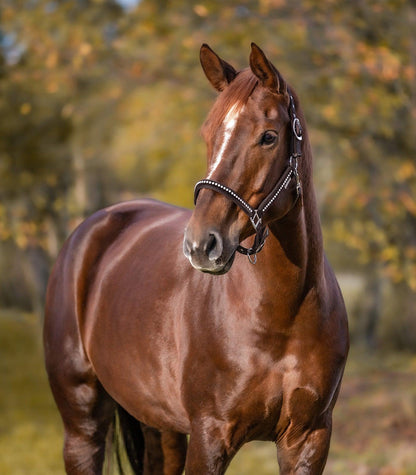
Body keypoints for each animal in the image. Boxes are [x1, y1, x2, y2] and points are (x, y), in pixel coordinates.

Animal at [43, 42, 348, 474]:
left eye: (269, 137)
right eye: (209, 133)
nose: (201, 244)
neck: (282, 316)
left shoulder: (308, 439)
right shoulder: (210, 436)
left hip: (161, 425)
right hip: (81, 423)